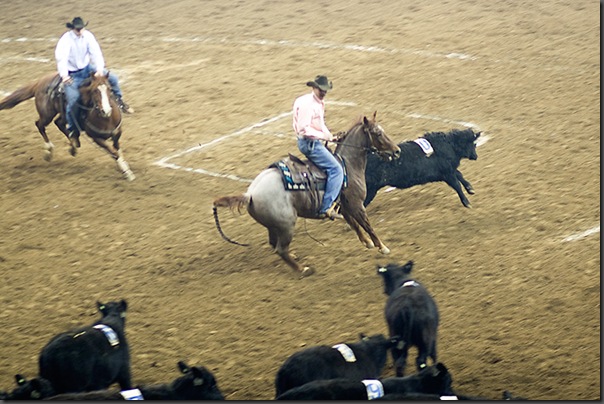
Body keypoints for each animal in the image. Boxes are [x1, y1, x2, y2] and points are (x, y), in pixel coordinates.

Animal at [0, 72, 135, 181]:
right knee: (40, 125)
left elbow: (117, 150)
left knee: (59, 123)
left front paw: (124, 166)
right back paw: (49, 150)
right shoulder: (97, 139)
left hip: (61, 114)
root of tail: (40, 82)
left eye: (109, 89)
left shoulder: (117, 133)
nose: (106, 110)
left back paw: (73, 144)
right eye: (94, 90)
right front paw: (127, 172)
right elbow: (114, 153)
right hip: (47, 114)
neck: (106, 119)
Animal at [213, 112, 401, 277]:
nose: (397, 151)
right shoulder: (356, 205)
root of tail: (250, 194)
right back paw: (303, 269)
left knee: (274, 245)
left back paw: (294, 257)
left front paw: (367, 243)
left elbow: (354, 224)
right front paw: (382, 247)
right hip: (287, 225)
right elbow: (367, 225)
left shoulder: (344, 206)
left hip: (273, 226)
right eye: (378, 133)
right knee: (280, 249)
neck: (347, 164)